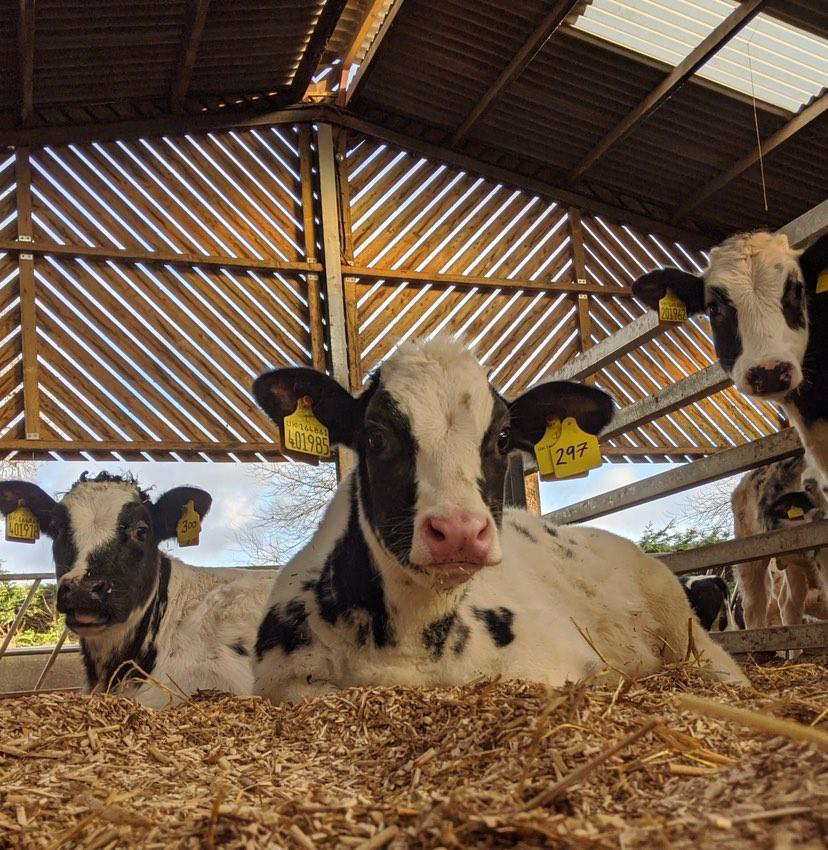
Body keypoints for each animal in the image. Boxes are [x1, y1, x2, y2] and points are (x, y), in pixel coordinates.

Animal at [251, 337, 746, 702]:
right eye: (375, 437)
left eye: (503, 437)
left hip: (681, 622)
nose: (459, 531)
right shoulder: (282, 681)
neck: (409, 642)